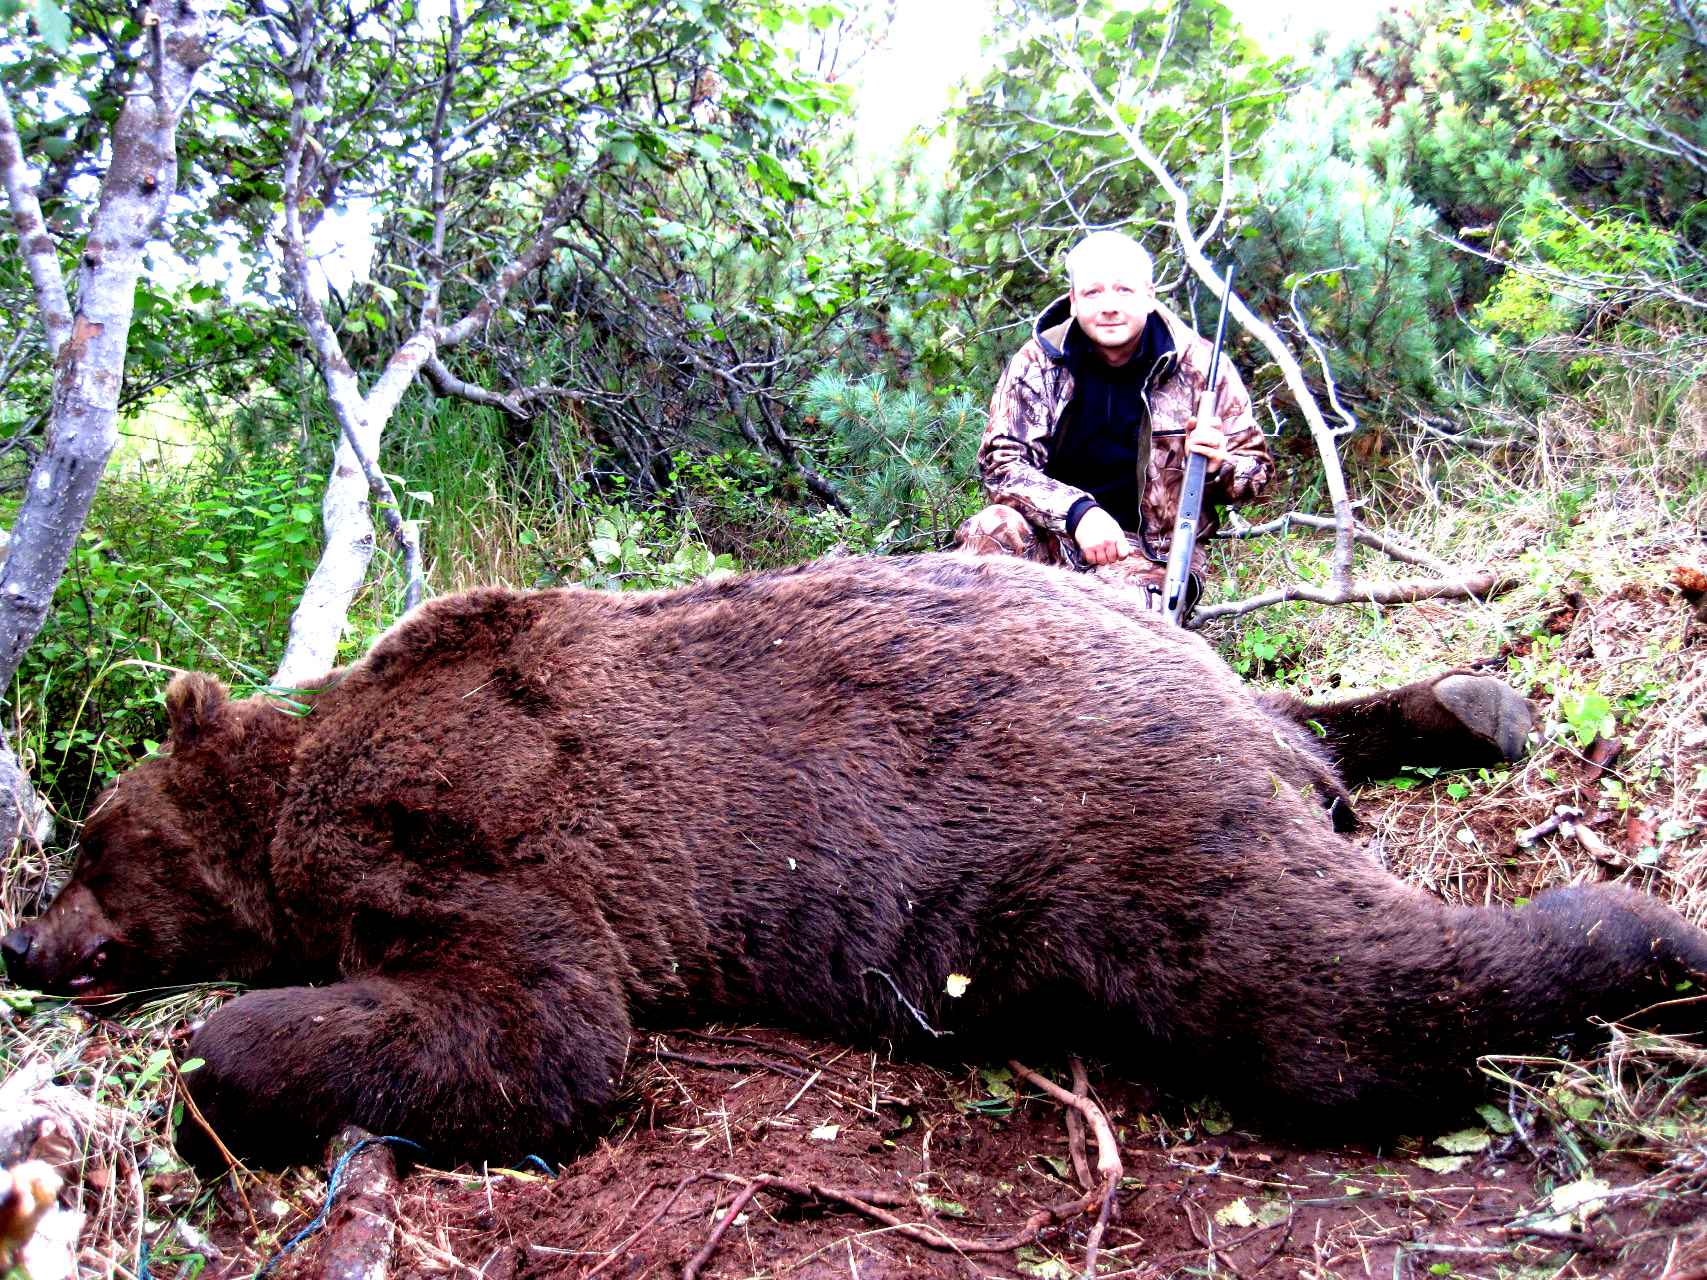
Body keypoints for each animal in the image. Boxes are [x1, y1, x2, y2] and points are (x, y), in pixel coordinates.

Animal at [3, 552, 1707, 1174]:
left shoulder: (464, 835)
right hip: (1163, 699)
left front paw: (215, 1062)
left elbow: (549, 1026)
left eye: (91, 841)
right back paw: (1467, 703)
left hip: (1098, 818)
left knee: (1321, 992)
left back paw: (1643, 935)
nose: (29, 941)